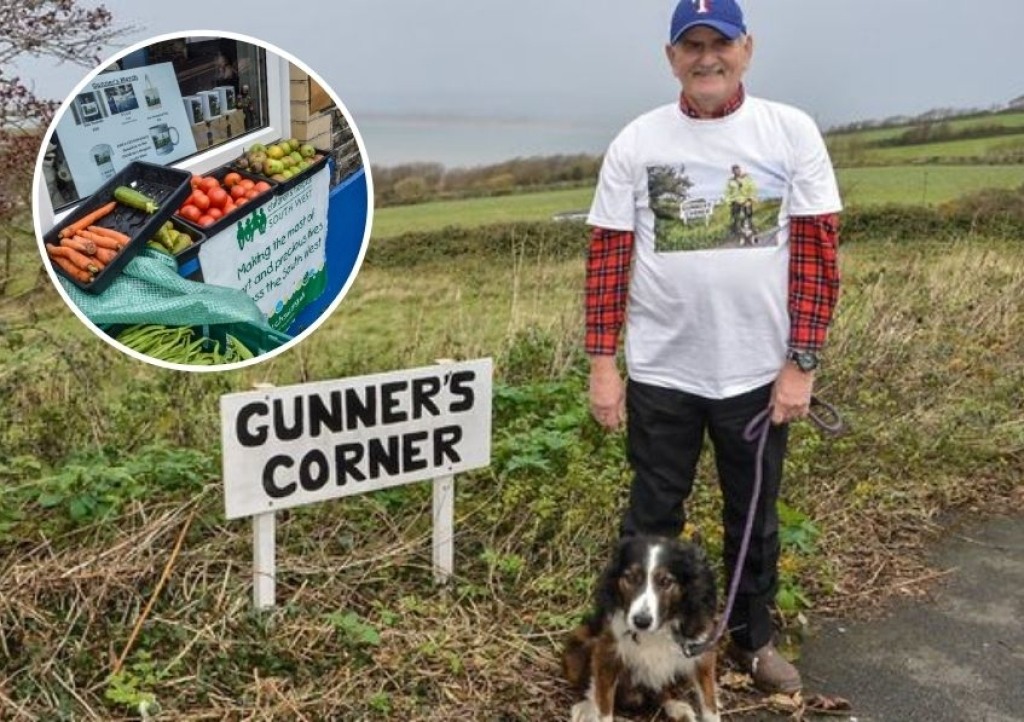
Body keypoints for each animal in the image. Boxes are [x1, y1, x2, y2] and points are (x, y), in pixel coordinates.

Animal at [561, 536, 720, 720]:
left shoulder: (701, 650)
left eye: (665, 581)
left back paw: (674, 705)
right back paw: (585, 707)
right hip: (579, 643)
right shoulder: (607, 652)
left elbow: (709, 703)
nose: (641, 621)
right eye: (630, 578)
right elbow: (604, 704)